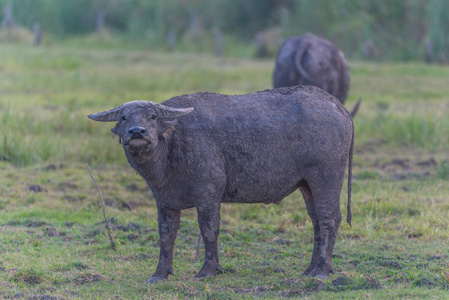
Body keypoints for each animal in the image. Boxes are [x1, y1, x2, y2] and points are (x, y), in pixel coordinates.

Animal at [87, 85, 354, 284]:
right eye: (124, 117)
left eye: (152, 116)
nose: (137, 132)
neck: (173, 145)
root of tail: (338, 106)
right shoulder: (164, 201)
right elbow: (166, 235)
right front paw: (160, 274)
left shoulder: (208, 193)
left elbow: (208, 229)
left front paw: (208, 270)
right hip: (306, 185)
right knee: (316, 220)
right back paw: (310, 269)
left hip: (326, 177)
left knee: (329, 218)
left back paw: (322, 272)